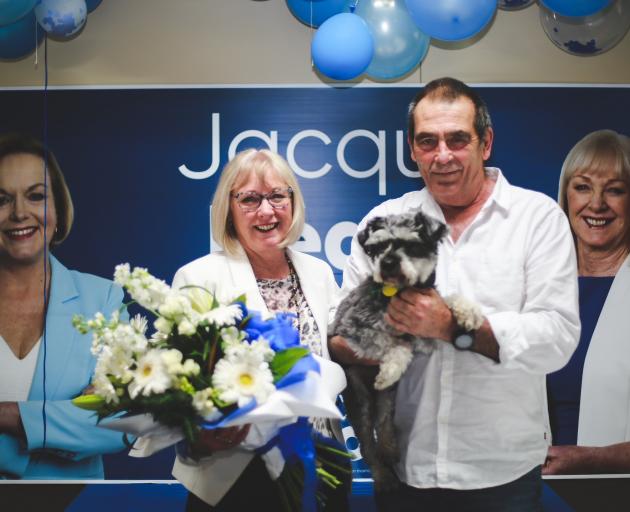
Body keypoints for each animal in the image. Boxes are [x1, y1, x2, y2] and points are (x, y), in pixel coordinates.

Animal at [330, 209, 484, 492]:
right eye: (377, 247)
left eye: (411, 244)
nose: (388, 264)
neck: (397, 293)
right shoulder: (352, 330)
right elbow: (395, 344)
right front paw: (390, 369)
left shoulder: (425, 327)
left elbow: (446, 301)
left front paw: (469, 311)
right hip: (360, 402)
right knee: (367, 447)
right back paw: (383, 477)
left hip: (387, 401)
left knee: (384, 427)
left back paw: (391, 449)